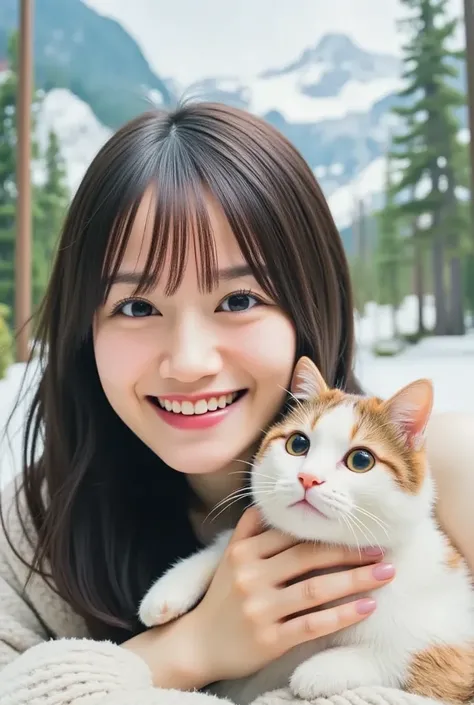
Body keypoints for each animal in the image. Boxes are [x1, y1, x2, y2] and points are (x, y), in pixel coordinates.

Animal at [139, 358, 472, 704]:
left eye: (361, 460)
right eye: (298, 444)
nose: (309, 478)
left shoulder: (454, 647)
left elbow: (403, 656)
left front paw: (322, 670)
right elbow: (224, 543)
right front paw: (169, 588)